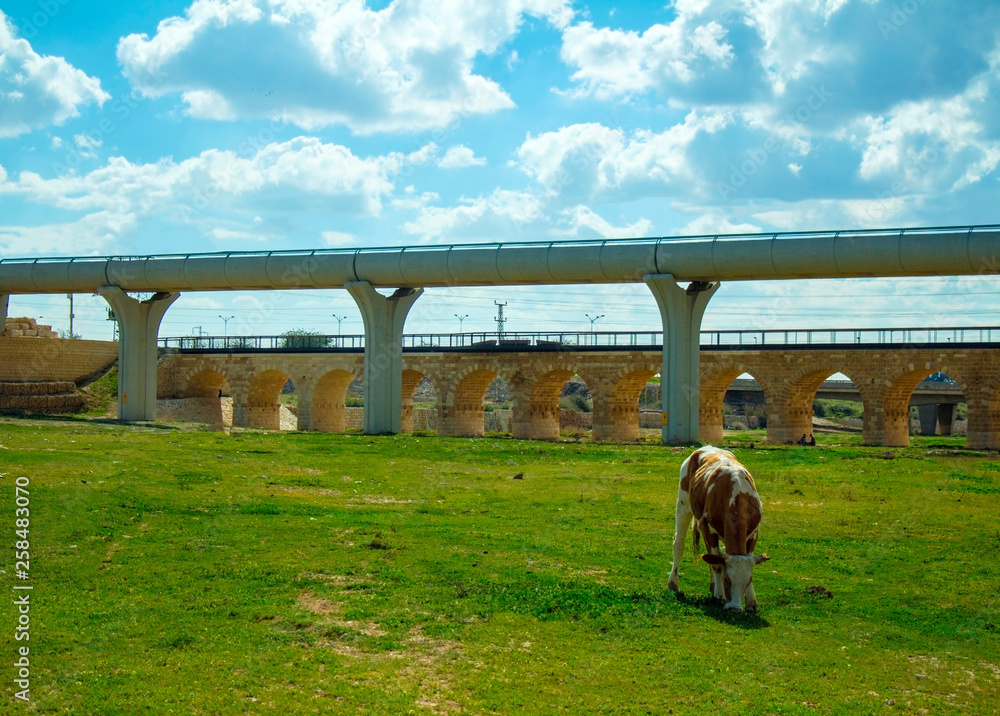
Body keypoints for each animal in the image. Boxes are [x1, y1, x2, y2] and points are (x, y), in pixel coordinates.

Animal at [668, 444, 768, 612]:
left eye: (748, 581)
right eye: (727, 580)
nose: (734, 608)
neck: (737, 496)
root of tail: (706, 447)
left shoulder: (754, 532)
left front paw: (751, 601)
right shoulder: (707, 528)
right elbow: (718, 566)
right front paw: (720, 595)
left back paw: (712, 585)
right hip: (683, 505)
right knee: (679, 545)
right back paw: (673, 583)